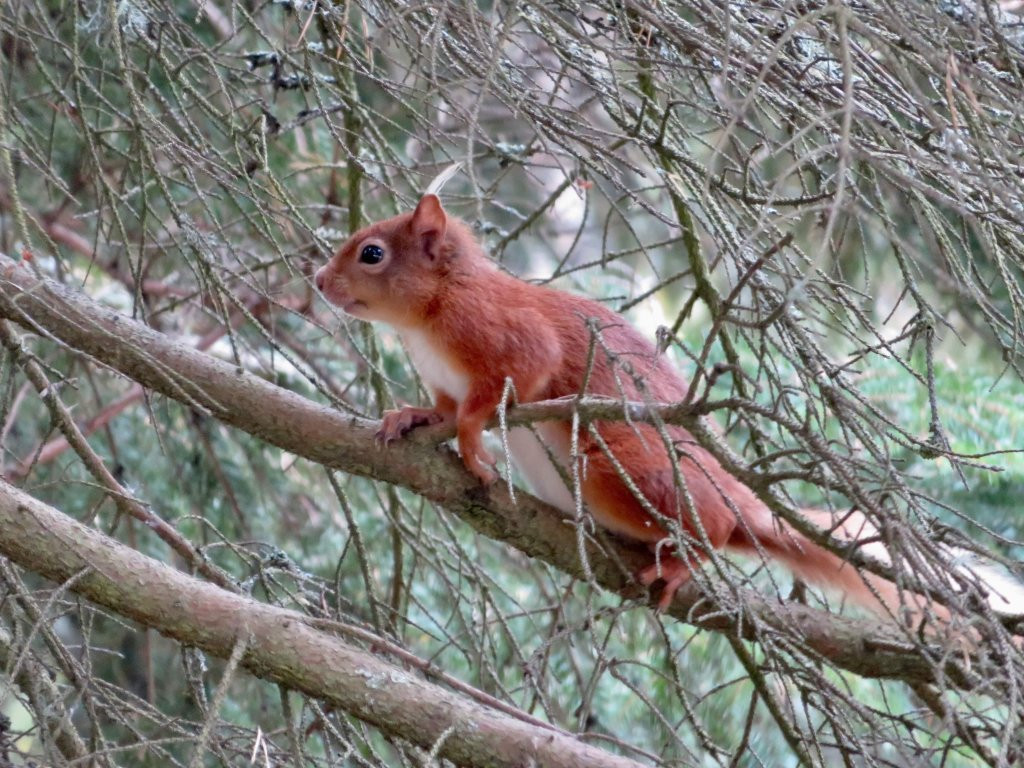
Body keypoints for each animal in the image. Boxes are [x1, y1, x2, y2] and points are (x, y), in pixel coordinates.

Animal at [315, 195, 1019, 618]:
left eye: (372, 253)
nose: (316, 282)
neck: (425, 320)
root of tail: (745, 502)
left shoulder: (509, 340)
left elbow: (495, 395)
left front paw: (470, 442)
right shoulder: (445, 378)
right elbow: (439, 408)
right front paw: (409, 417)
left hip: (622, 466)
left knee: (717, 528)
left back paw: (687, 560)